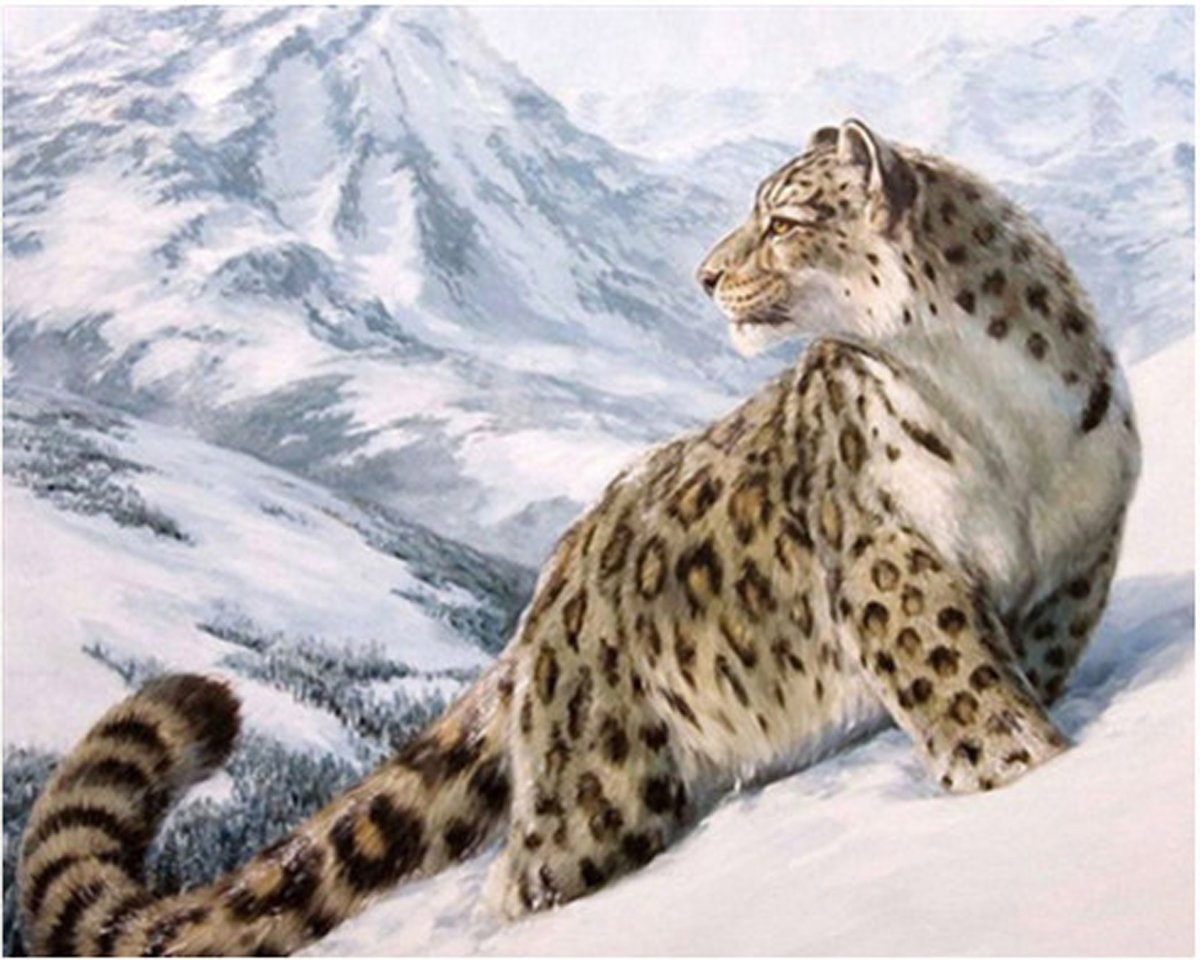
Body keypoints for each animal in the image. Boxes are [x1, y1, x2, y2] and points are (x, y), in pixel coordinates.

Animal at [18, 119, 1140, 956]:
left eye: (781, 220)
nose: (704, 276)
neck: (994, 412)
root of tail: (549, 591)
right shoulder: (894, 564)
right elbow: (961, 688)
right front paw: (1022, 774)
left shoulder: (1078, 554)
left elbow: (1022, 664)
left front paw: (1040, 761)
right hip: (602, 789)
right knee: (530, 880)